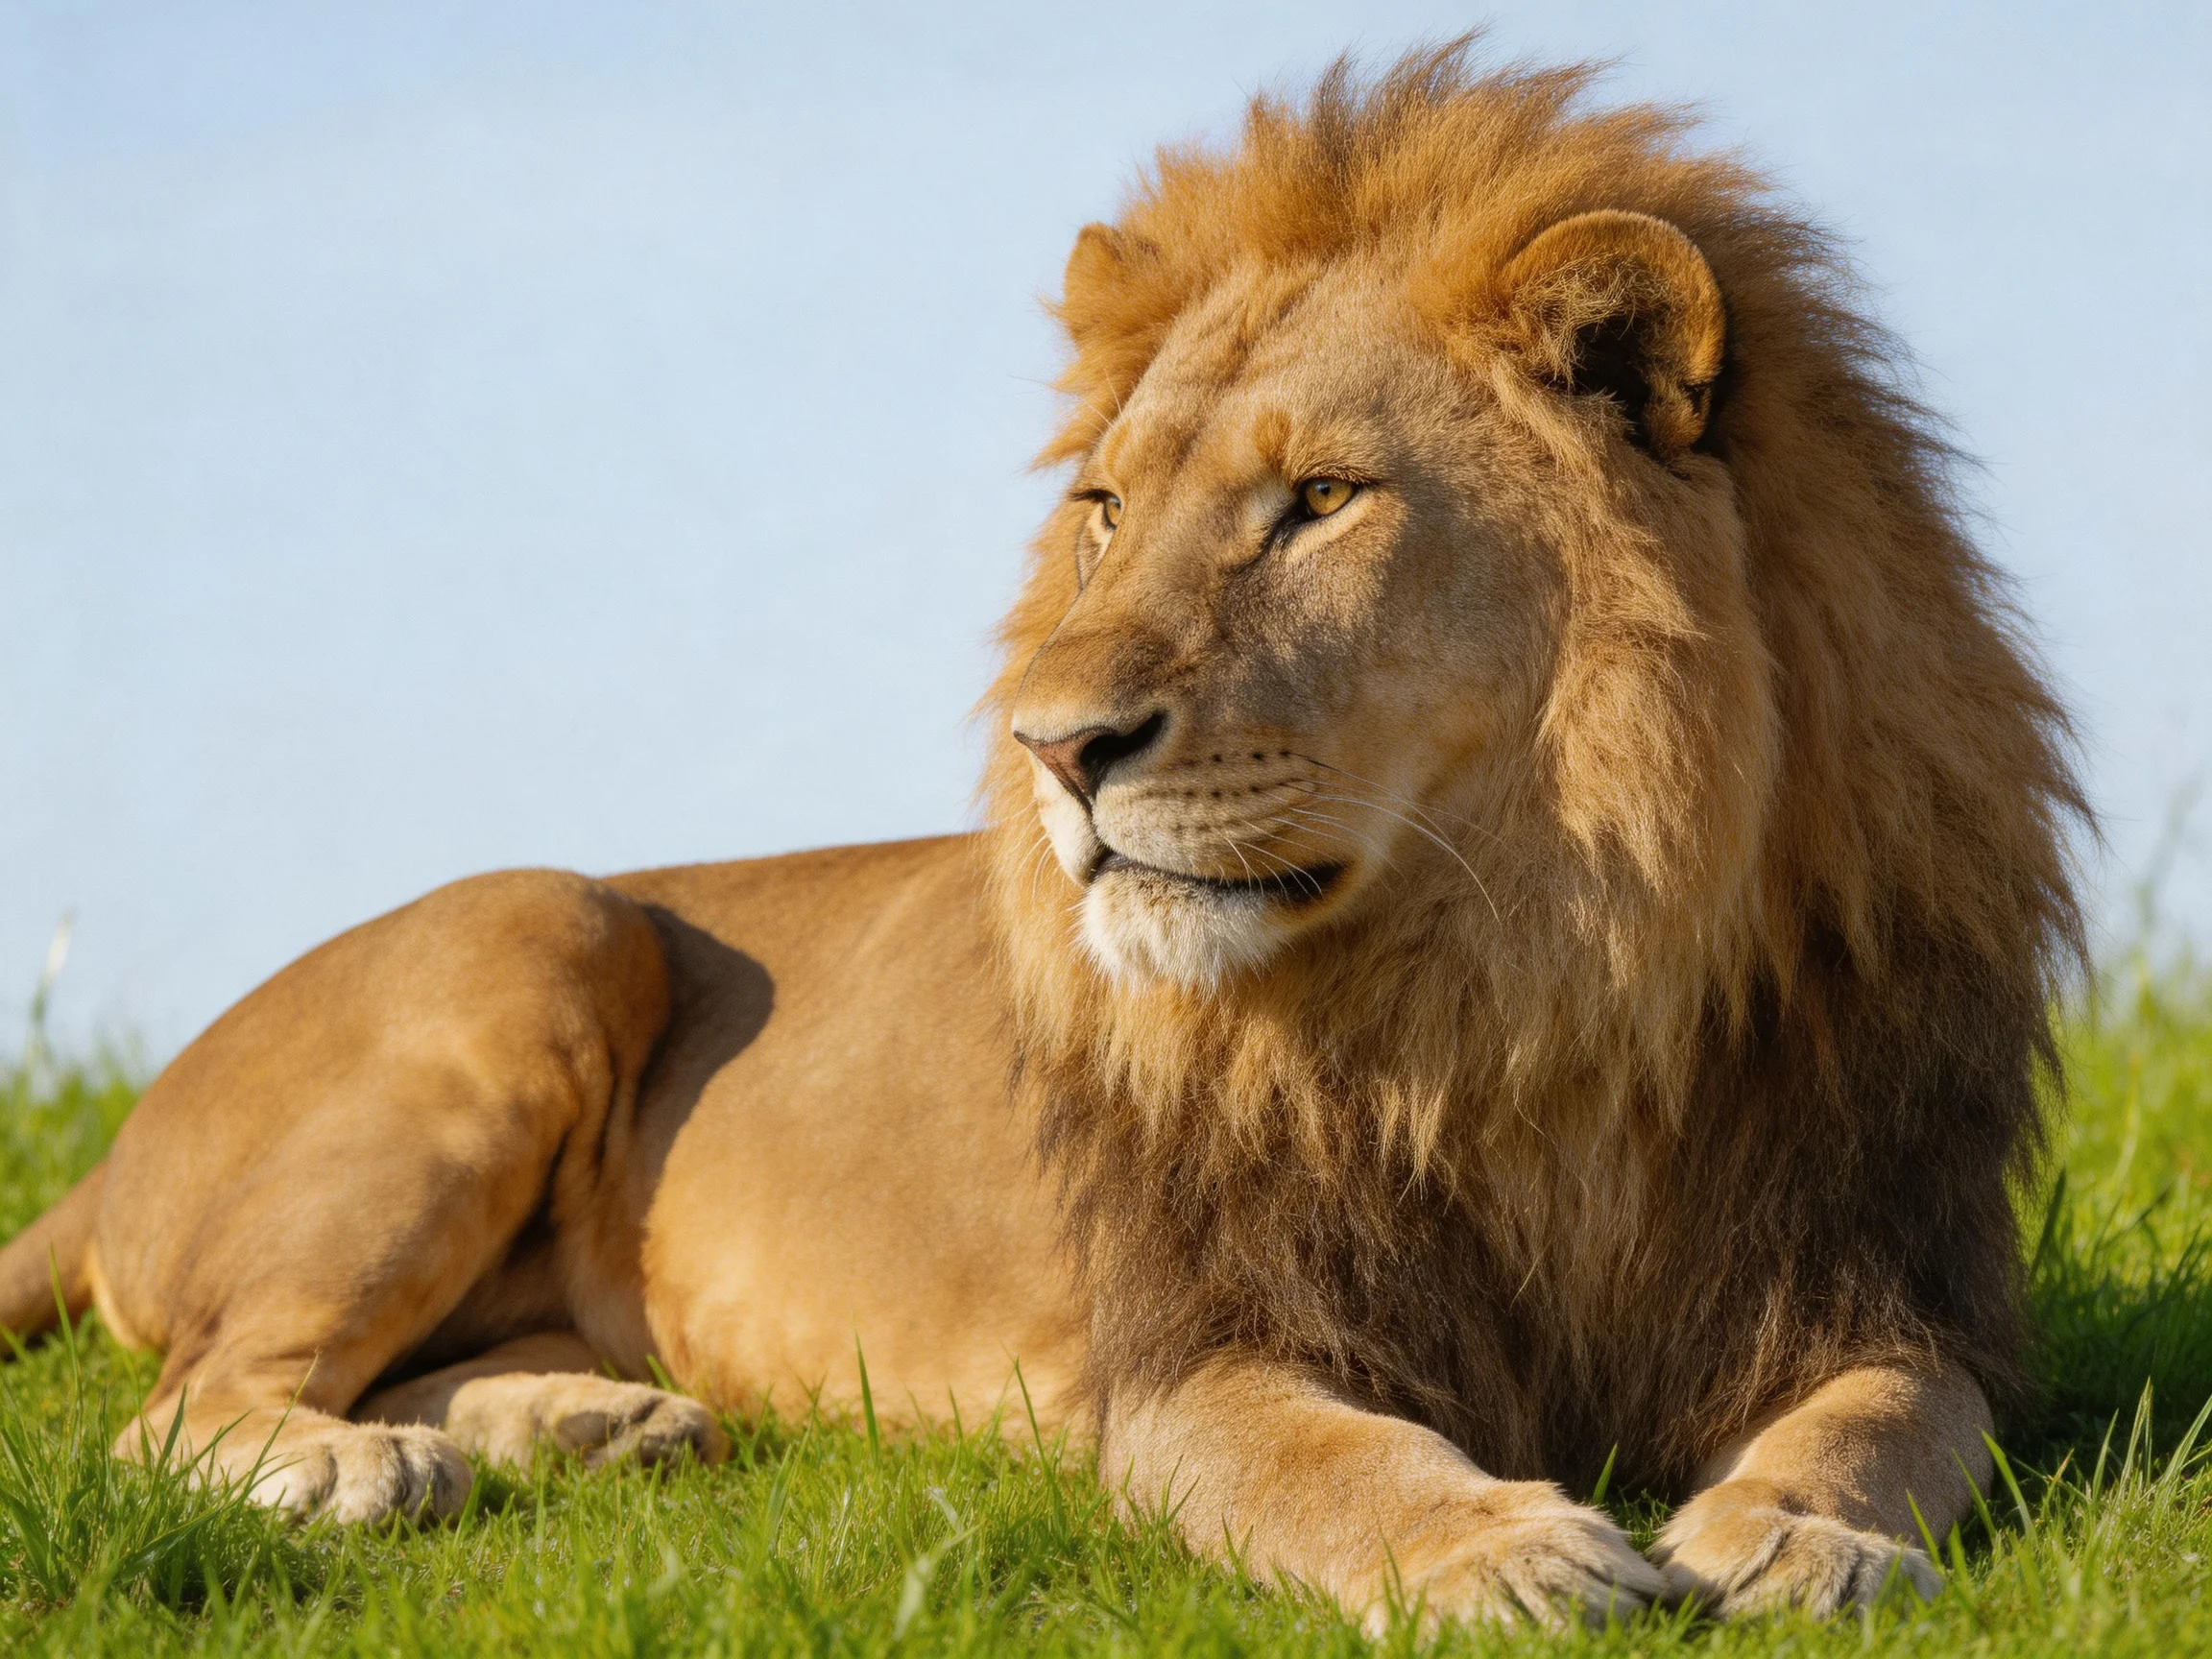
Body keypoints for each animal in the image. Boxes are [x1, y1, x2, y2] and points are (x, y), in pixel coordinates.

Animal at [0, 46, 2083, 1628]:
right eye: (1103, 511)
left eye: (1318, 501)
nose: (1053, 751)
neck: (1528, 981)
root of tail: (111, 1154)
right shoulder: (1186, 1353)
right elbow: (1319, 1462)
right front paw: (1501, 1550)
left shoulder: (1883, 1273)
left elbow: (1891, 1417)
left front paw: (1792, 1536)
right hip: (535, 928)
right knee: (182, 1406)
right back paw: (368, 1469)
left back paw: (588, 1425)